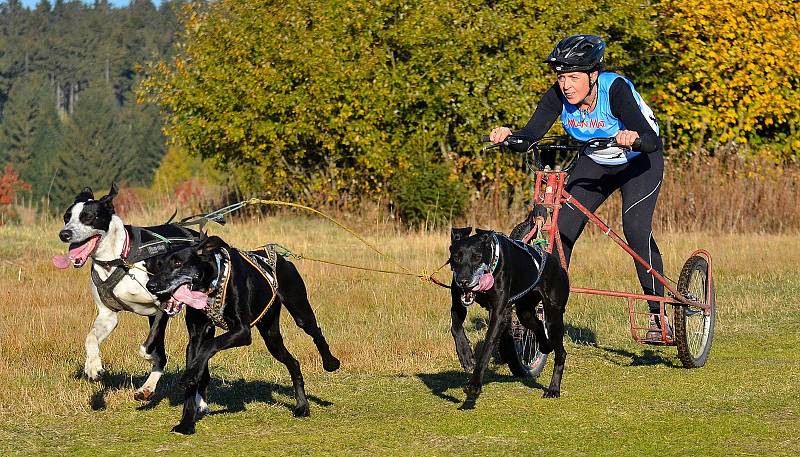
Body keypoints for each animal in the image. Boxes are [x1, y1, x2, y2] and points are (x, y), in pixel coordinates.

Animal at [54, 183, 200, 400]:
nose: (64, 234)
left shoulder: (163, 306)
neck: (118, 258)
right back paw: (147, 388)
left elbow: (148, 347)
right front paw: (92, 366)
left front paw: (147, 355)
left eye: (88, 216)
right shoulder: (108, 316)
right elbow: (90, 338)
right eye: (66, 217)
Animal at [145, 235, 340, 434]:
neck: (212, 284)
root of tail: (283, 259)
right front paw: (186, 423)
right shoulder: (196, 337)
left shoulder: (242, 331)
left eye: (178, 262)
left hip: (300, 311)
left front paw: (190, 375)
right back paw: (302, 405)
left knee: (316, 333)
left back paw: (330, 363)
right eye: (159, 265)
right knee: (293, 363)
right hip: (271, 336)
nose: (150, 285)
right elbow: (196, 365)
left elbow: (209, 346)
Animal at [450, 227, 568, 400]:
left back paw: (553, 388)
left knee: (561, 353)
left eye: (476, 257)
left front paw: (474, 385)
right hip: (525, 312)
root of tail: (556, 263)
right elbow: (456, 327)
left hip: (554, 319)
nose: (463, 281)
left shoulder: (498, 315)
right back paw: (545, 345)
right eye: (456, 257)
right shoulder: (458, 304)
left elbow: (487, 348)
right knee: (538, 325)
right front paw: (466, 356)